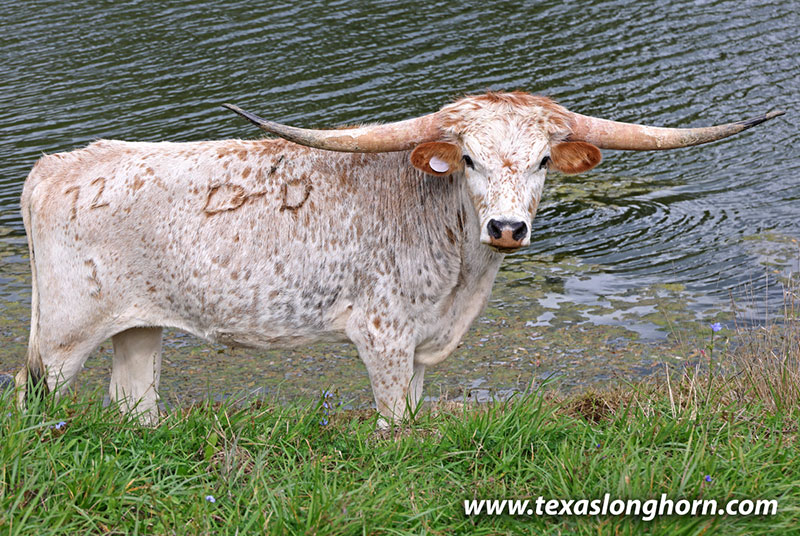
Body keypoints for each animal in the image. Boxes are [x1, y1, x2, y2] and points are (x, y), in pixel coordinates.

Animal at [15, 91, 782, 426]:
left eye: (542, 161)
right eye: (468, 159)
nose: (507, 227)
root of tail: (58, 165)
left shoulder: (418, 347)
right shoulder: (381, 336)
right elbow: (393, 425)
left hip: (138, 327)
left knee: (131, 404)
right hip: (63, 334)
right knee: (30, 396)